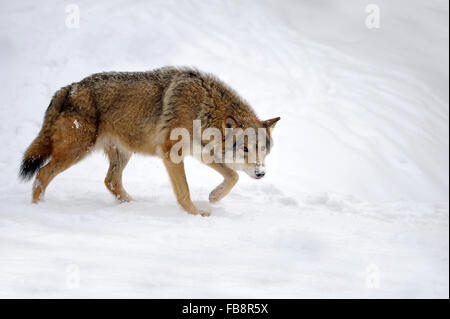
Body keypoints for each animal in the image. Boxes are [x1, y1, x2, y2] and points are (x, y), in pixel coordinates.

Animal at [22, 67, 282, 218]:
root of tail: (69, 87)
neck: (203, 108)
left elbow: (233, 176)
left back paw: (133, 206)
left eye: (263, 150)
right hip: (76, 151)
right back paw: (38, 208)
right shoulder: (171, 153)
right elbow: (184, 191)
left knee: (110, 181)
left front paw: (213, 197)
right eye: (245, 148)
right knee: (42, 174)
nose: (261, 173)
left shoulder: (202, 152)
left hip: (121, 154)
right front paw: (196, 214)